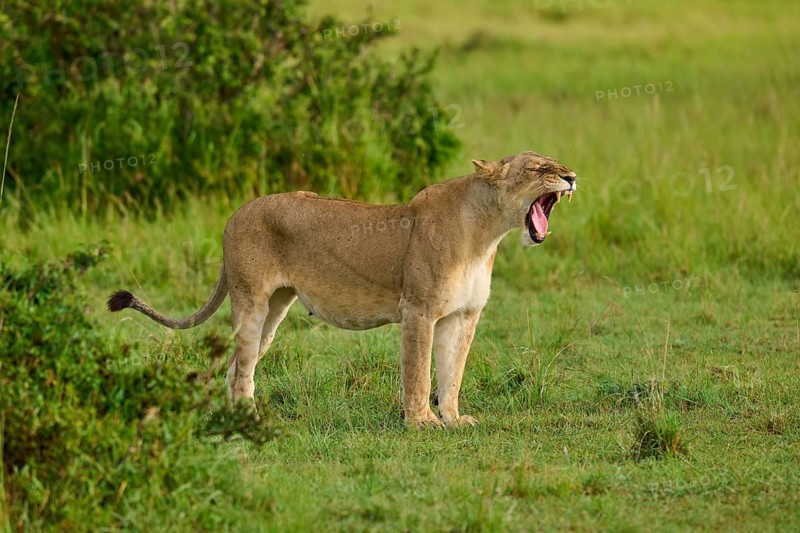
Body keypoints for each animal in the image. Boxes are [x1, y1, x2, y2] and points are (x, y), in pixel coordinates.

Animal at [108, 151, 577, 427]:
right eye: (540, 169)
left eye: (556, 164)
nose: (572, 176)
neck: (486, 233)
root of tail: (234, 214)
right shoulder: (419, 310)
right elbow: (419, 372)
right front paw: (422, 422)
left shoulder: (463, 315)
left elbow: (452, 373)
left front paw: (454, 419)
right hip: (251, 300)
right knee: (240, 366)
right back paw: (249, 419)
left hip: (275, 309)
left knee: (238, 365)